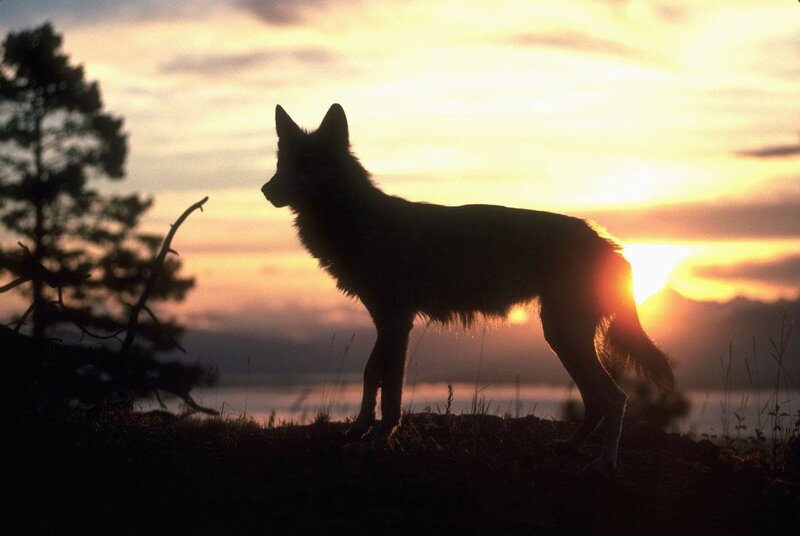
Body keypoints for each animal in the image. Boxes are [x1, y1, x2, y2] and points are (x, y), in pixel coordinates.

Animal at [261, 104, 674, 471]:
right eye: (283, 163)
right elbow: (369, 376)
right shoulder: (386, 322)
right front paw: (359, 428)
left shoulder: (397, 323)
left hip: (564, 336)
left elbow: (391, 394)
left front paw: (377, 442)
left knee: (615, 397)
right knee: (596, 401)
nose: (266, 190)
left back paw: (605, 463)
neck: (357, 222)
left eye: (306, 163)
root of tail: (610, 244)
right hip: (561, 338)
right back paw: (570, 446)